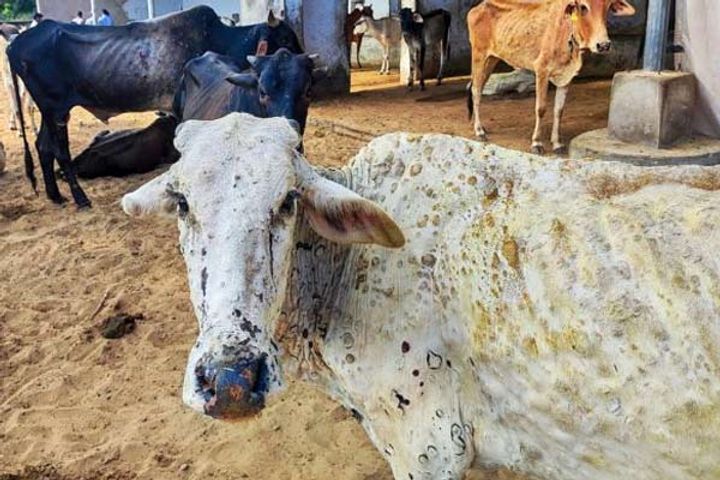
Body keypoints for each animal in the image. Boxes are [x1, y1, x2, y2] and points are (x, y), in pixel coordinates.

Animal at [6, 5, 302, 208]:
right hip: (56, 109)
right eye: (286, 38)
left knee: (43, 146)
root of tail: (15, 43)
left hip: (50, 110)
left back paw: (55, 196)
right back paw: (80, 198)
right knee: (60, 151)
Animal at [467, 0, 636, 154]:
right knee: (476, 91)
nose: (603, 45)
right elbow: (541, 108)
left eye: (609, 6)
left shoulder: (566, 78)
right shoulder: (541, 70)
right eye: (583, 6)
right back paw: (479, 131)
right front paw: (536, 143)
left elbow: (559, 111)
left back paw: (481, 127)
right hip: (479, 56)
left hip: (491, 60)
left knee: (478, 88)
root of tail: (478, 7)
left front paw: (557, 144)